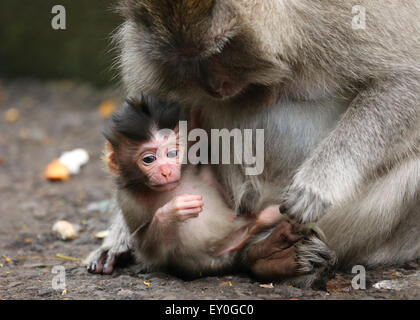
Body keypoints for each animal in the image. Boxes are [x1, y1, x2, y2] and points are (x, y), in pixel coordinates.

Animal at [87, 0, 418, 284]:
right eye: (187, 60)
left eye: (223, 48)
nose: (213, 85)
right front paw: (119, 237)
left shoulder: (340, 14)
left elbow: (404, 80)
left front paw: (318, 183)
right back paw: (267, 255)